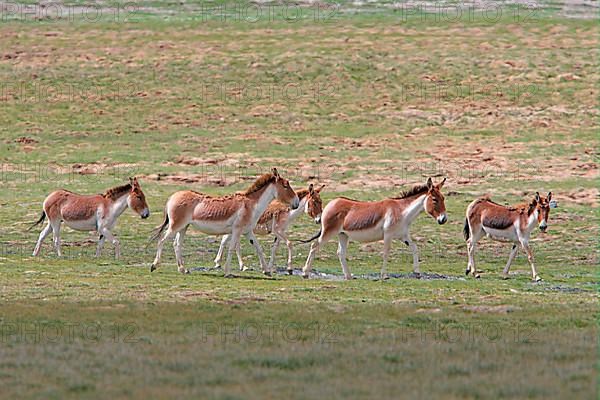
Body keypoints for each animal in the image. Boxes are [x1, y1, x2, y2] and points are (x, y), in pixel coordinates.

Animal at [302, 180, 448, 280]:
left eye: (443, 198)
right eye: (434, 199)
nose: (444, 219)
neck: (402, 211)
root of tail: (331, 203)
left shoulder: (403, 236)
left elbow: (415, 248)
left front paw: (417, 272)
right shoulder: (388, 235)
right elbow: (386, 253)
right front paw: (384, 275)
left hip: (343, 235)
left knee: (340, 253)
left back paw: (348, 276)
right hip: (329, 232)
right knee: (314, 246)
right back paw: (305, 273)